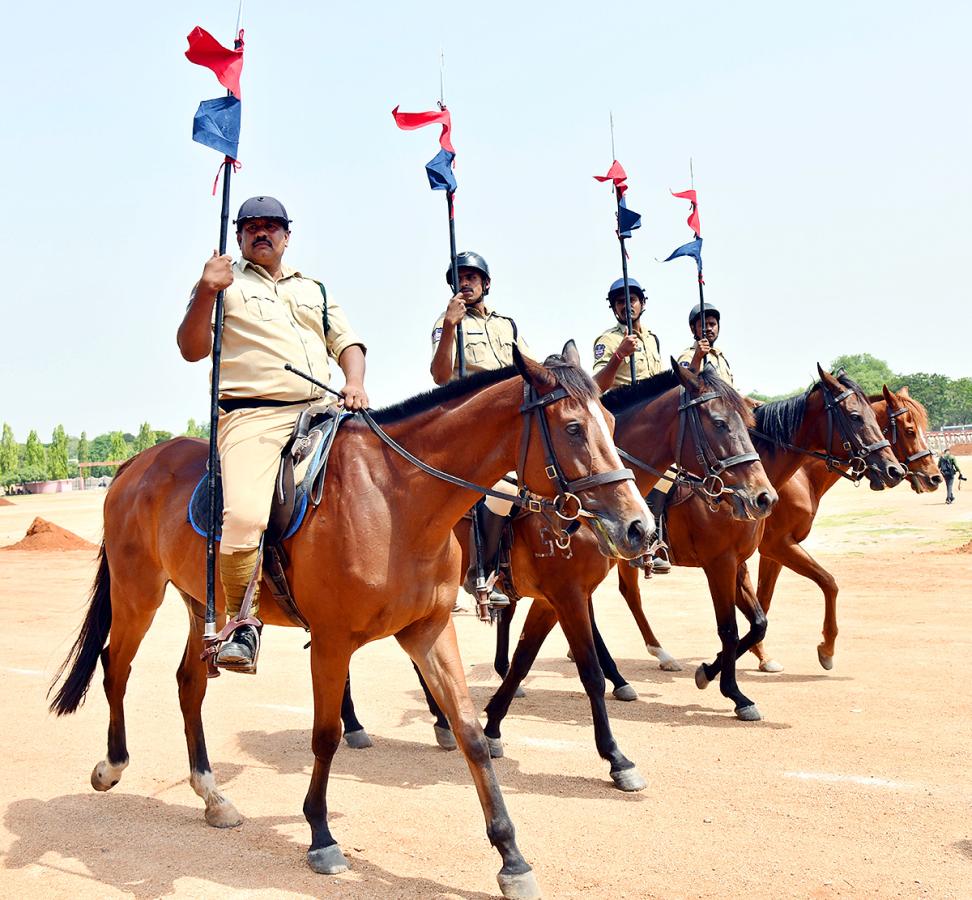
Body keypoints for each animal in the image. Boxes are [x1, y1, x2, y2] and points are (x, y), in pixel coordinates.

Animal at [47, 346, 652, 900]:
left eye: (613, 424)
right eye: (573, 428)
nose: (640, 527)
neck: (397, 498)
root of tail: (136, 464)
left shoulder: (431, 630)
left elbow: (471, 734)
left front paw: (511, 857)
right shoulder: (333, 641)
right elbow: (326, 735)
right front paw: (320, 836)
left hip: (202, 603)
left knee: (189, 683)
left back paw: (212, 795)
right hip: (137, 593)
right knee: (115, 666)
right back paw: (112, 765)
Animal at [616, 366, 904, 716]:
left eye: (877, 420)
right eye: (854, 416)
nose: (894, 470)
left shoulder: (740, 562)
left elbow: (760, 621)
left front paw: (711, 671)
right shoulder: (725, 562)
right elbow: (730, 629)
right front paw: (735, 693)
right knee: (626, 594)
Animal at [752, 384, 940, 672]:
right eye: (910, 430)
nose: (935, 477)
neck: (800, 475)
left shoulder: (773, 550)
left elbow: (763, 599)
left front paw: (761, 654)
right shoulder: (777, 544)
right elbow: (829, 583)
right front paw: (827, 648)